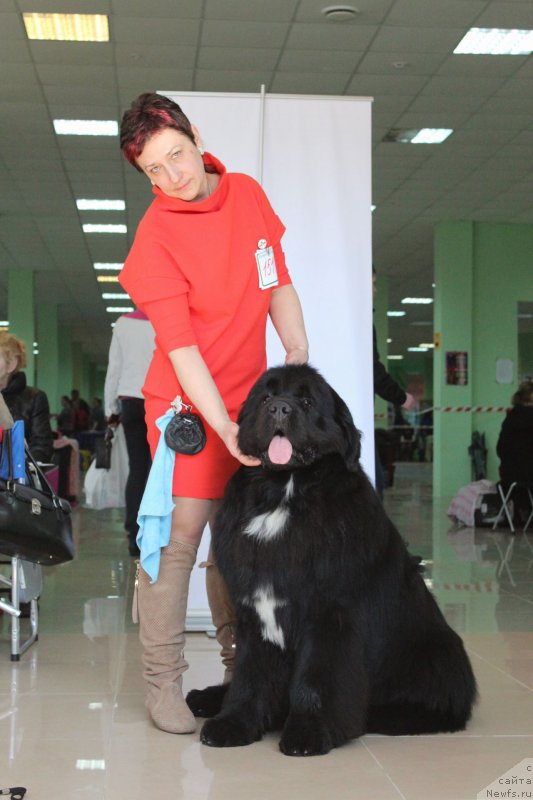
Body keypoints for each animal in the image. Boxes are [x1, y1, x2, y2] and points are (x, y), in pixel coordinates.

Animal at [186, 366, 474, 752]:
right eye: (265, 397)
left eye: (307, 401)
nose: (279, 408)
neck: (284, 495)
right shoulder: (254, 615)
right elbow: (249, 675)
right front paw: (234, 723)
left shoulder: (329, 617)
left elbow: (317, 679)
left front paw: (308, 733)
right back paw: (206, 698)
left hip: (440, 650)